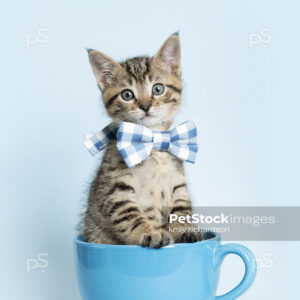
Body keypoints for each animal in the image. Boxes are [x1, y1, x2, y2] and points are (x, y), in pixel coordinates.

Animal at [81, 34, 202, 247]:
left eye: (158, 89)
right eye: (127, 94)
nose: (145, 105)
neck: (153, 142)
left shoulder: (178, 182)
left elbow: (182, 208)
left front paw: (185, 229)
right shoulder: (114, 190)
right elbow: (129, 216)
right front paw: (150, 233)